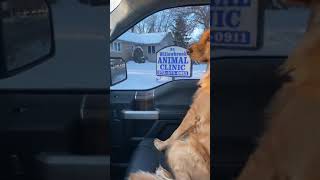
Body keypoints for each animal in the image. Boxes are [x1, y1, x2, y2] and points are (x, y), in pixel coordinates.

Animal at [129, 29, 211, 180]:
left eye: (209, 39)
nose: (187, 50)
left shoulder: (193, 113)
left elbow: (175, 132)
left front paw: (161, 145)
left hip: (178, 149)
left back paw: (161, 172)